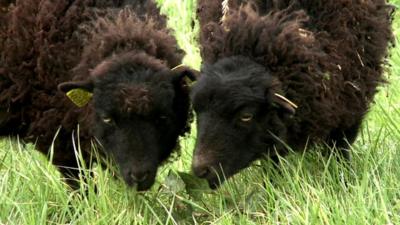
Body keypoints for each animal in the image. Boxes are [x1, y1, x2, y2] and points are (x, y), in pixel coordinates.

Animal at [193, 0, 394, 188]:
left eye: (246, 116)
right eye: (196, 111)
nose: (200, 170)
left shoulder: (350, 102)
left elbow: (339, 148)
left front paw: (343, 181)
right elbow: (272, 157)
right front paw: (273, 187)